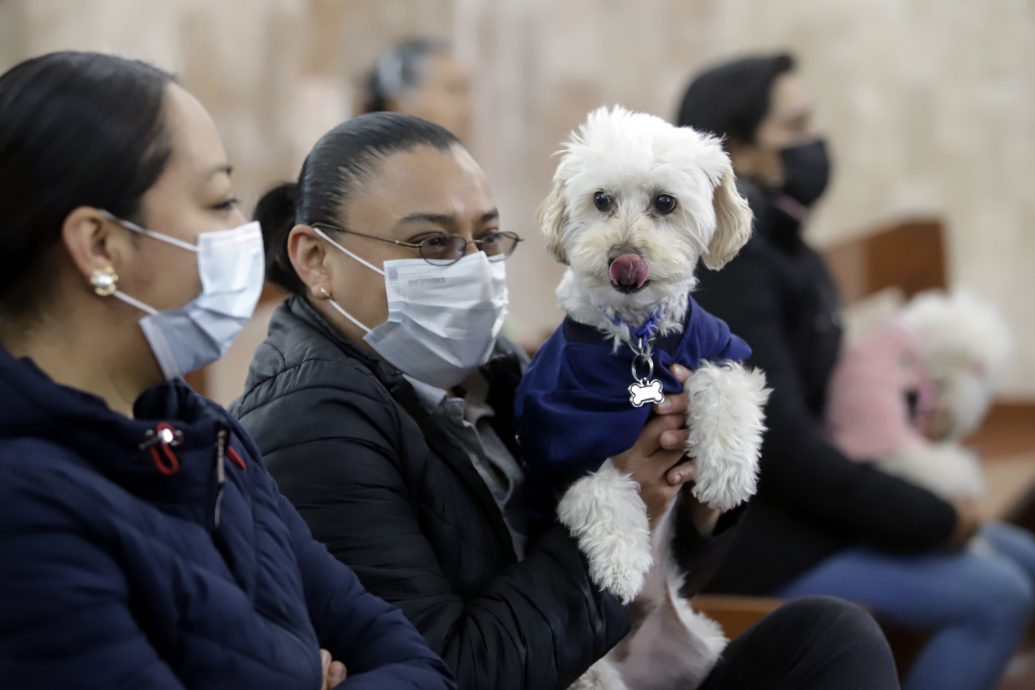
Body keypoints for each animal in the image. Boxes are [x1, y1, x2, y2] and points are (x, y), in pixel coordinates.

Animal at [515, 103, 770, 690]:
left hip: (699, 648)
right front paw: (622, 563)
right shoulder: (558, 429)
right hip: (593, 678)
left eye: (665, 203)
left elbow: (725, 390)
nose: (623, 259)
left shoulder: (715, 346)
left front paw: (726, 476)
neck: (637, 340)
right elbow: (601, 486)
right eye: (601, 200)